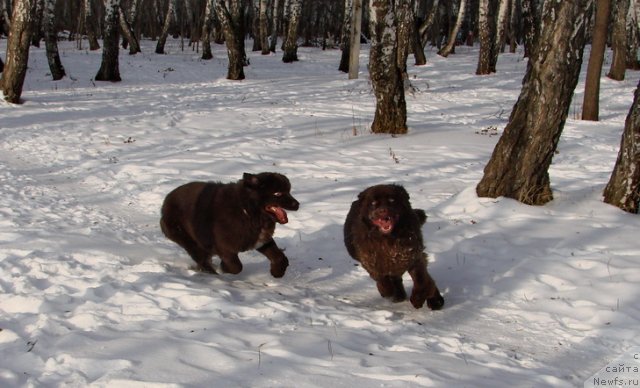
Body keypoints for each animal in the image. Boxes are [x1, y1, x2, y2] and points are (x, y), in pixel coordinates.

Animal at [160, 171, 300, 278]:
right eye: (277, 193)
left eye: (289, 191)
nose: (297, 204)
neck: (247, 210)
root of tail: (165, 203)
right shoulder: (225, 247)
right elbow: (236, 266)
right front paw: (224, 268)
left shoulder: (261, 240)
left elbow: (279, 256)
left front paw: (278, 272)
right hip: (190, 242)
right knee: (203, 261)